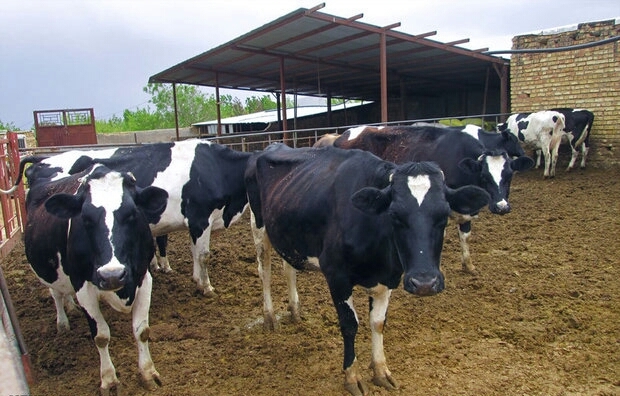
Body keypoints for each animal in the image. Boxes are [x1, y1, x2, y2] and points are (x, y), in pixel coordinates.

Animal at [4, 141, 252, 296]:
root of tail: (42, 161)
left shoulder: (194, 223)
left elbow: (193, 253)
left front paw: (195, 279)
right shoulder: (200, 218)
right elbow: (203, 256)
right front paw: (206, 287)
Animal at [23, 163, 168, 392]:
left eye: (132, 214)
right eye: (85, 218)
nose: (112, 275)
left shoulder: (144, 278)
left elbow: (142, 330)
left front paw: (148, 373)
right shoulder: (84, 288)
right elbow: (100, 336)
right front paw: (109, 380)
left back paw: (71, 306)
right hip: (48, 270)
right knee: (56, 294)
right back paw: (62, 322)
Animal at [245, 145, 492, 396]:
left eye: (443, 216)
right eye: (395, 215)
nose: (424, 283)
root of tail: (275, 146)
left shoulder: (387, 278)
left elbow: (378, 323)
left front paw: (381, 371)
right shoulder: (337, 275)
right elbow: (349, 324)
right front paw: (352, 376)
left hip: (288, 234)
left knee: (289, 268)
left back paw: (295, 310)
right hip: (259, 225)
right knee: (264, 270)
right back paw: (269, 317)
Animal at [332, 126, 536, 276]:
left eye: (509, 176)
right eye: (485, 177)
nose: (502, 207)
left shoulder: (466, 207)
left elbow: (465, 236)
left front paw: (468, 266)